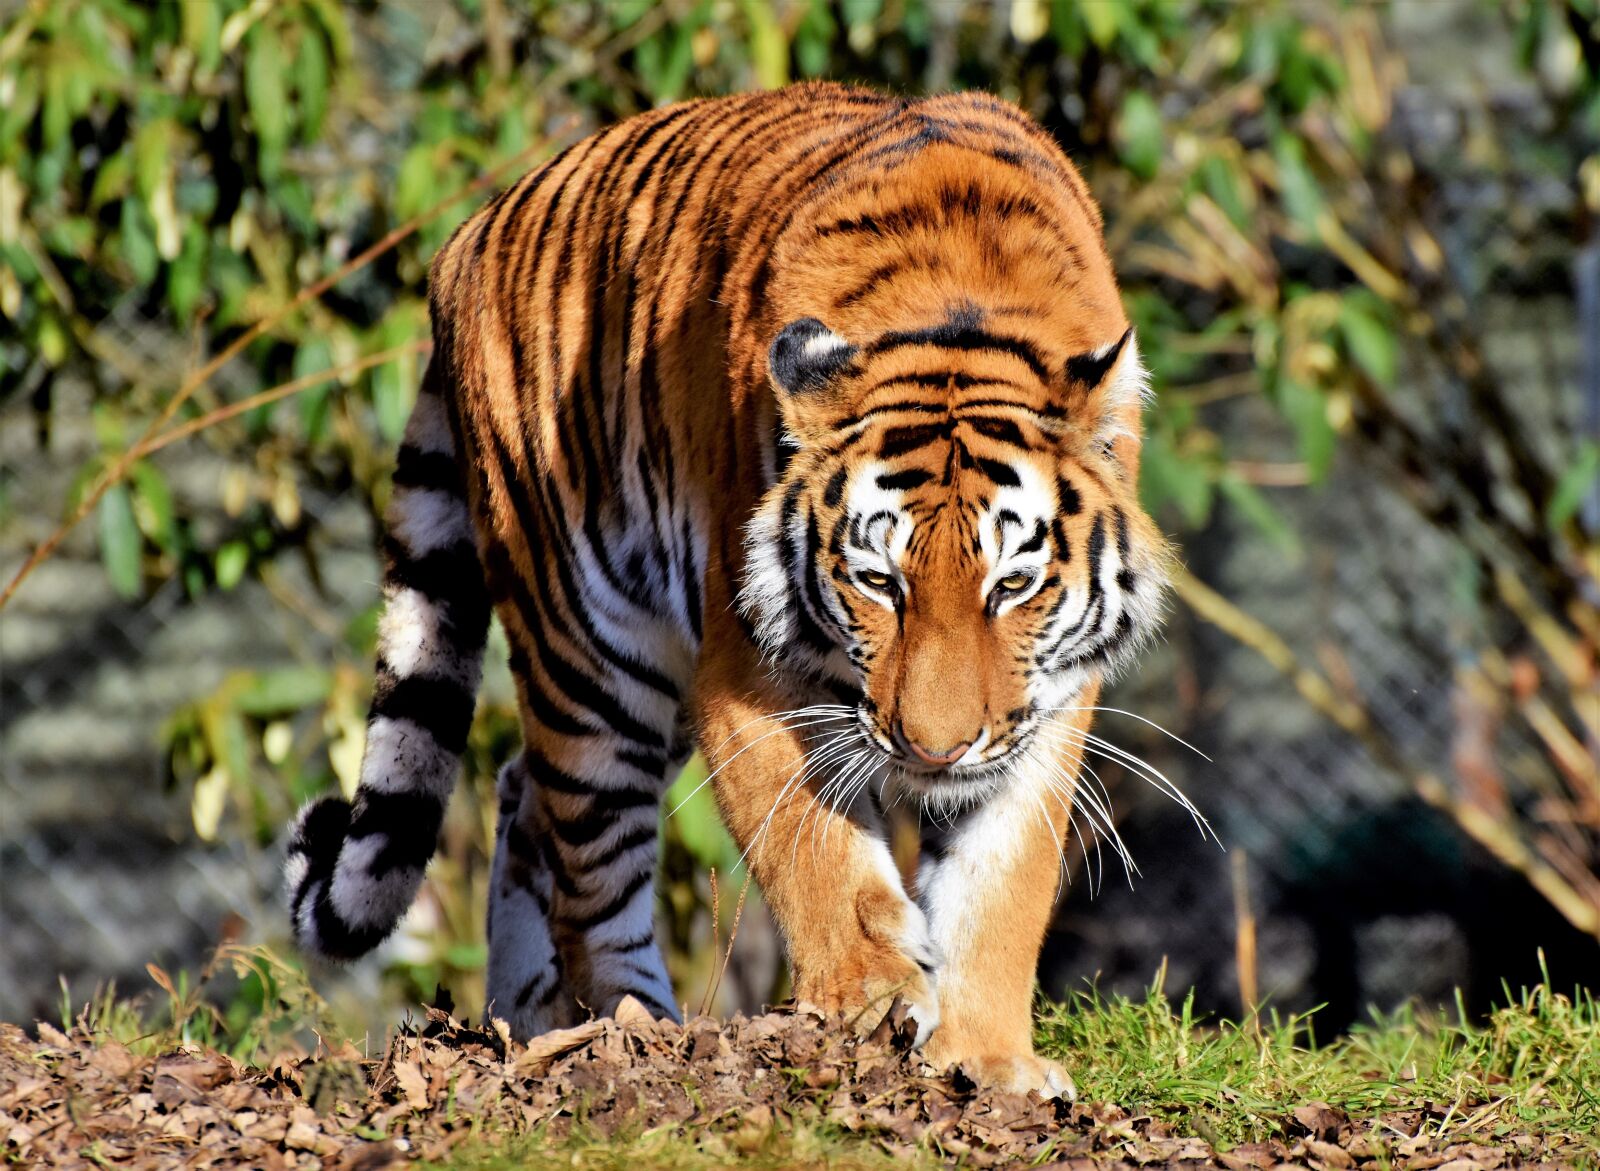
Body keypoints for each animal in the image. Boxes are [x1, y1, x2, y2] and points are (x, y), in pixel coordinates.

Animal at [284, 82, 1170, 1098]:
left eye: (1012, 584)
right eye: (879, 581)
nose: (933, 751)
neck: (958, 304)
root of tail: (464, 236)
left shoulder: (1045, 702)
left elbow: (1002, 881)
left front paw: (990, 1061)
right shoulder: (744, 666)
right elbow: (816, 851)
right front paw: (869, 1002)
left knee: (522, 795)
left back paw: (529, 1018)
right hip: (592, 650)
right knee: (588, 858)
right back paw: (635, 1029)